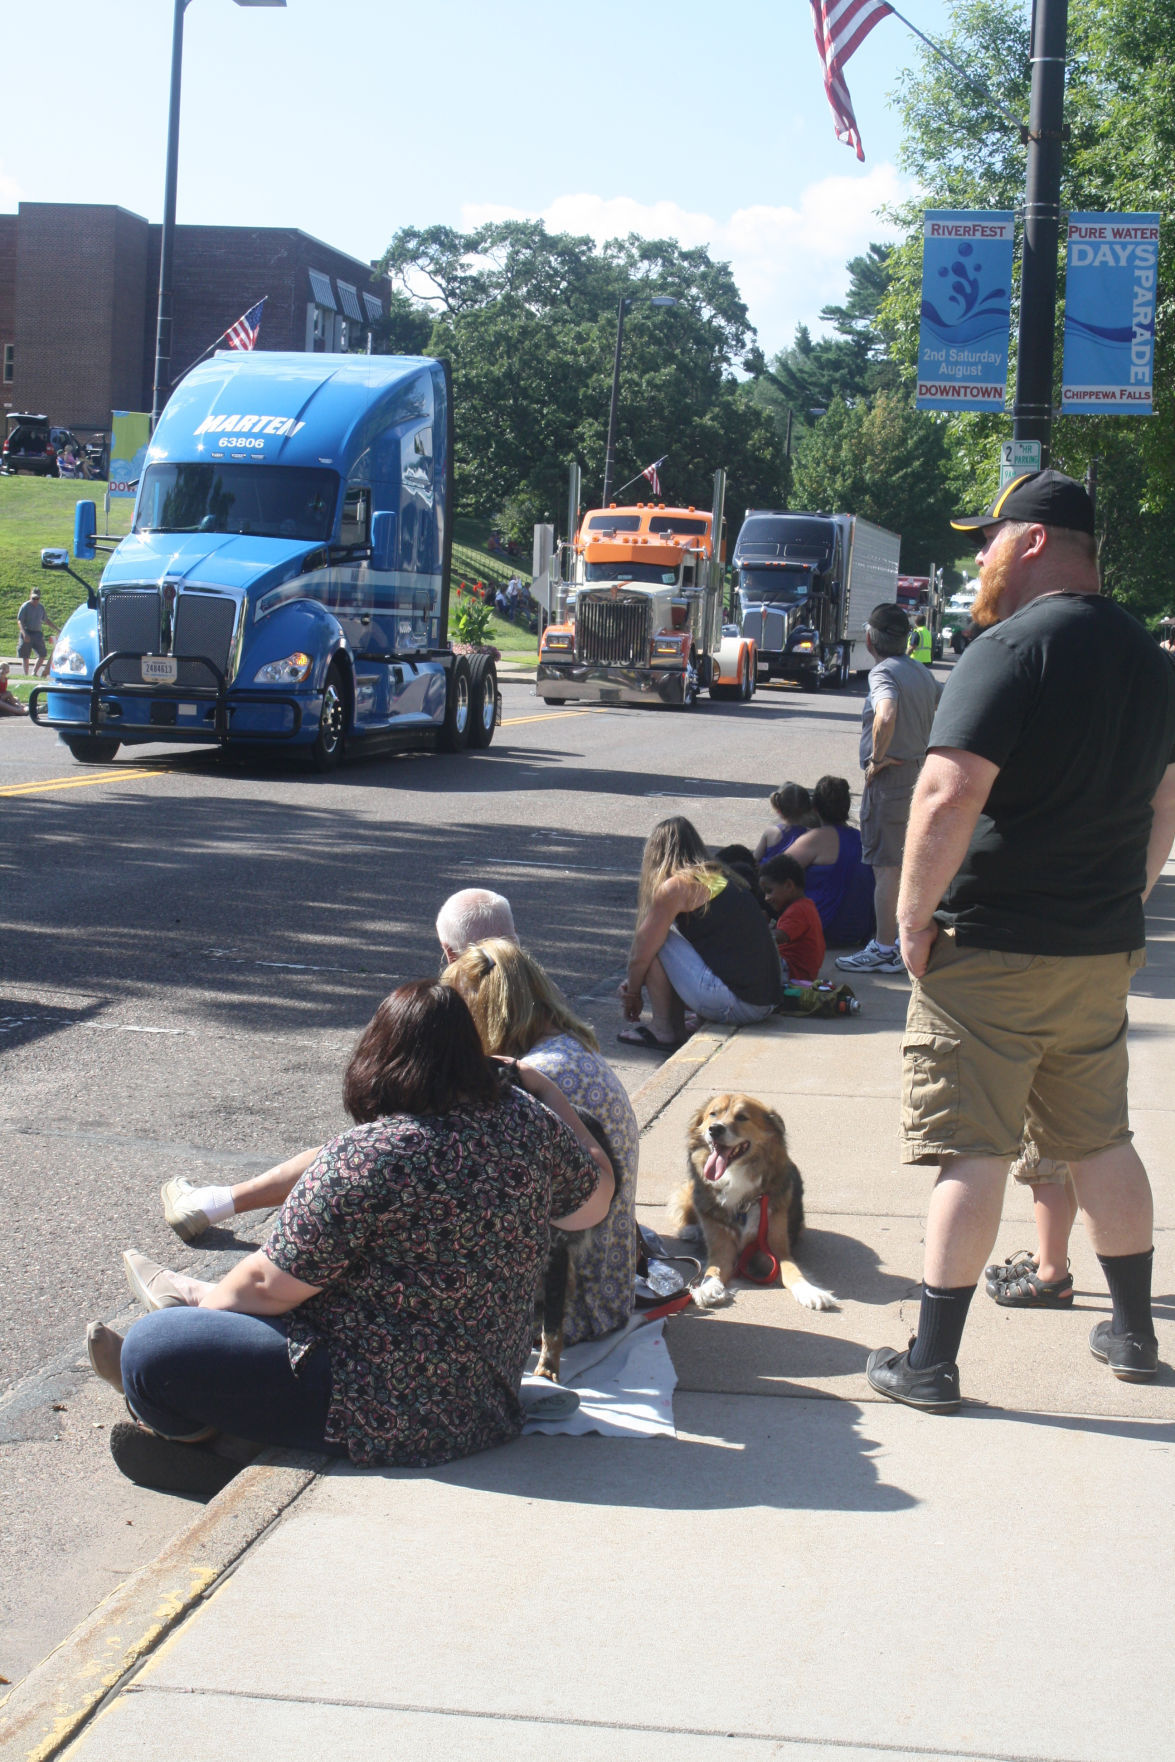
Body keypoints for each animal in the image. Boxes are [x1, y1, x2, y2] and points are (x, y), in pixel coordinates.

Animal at [669, 1092, 835, 1317]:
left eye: (742, 1117)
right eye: (713, 1114)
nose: (715, 1129)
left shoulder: (775, 1248)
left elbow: (792, 1271)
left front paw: (811, 1292)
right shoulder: (721, 1247)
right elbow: (713, 1270)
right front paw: (708, 1288)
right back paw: (690, 1230)